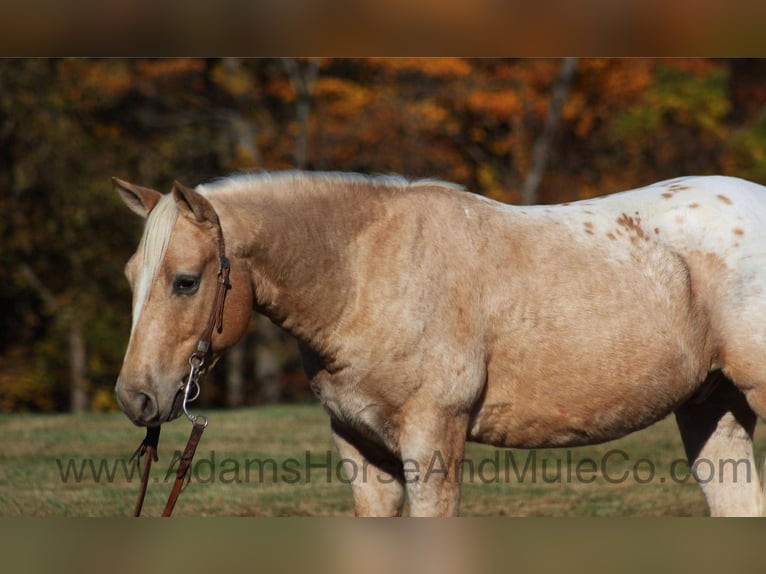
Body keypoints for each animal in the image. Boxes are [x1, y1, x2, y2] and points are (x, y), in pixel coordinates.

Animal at [113, 171, 766, 516]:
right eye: (130, 275)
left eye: (185, 281)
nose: (135, 398)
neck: (367, 272)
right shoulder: (361, 449)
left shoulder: (433, 440)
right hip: (712, 409)